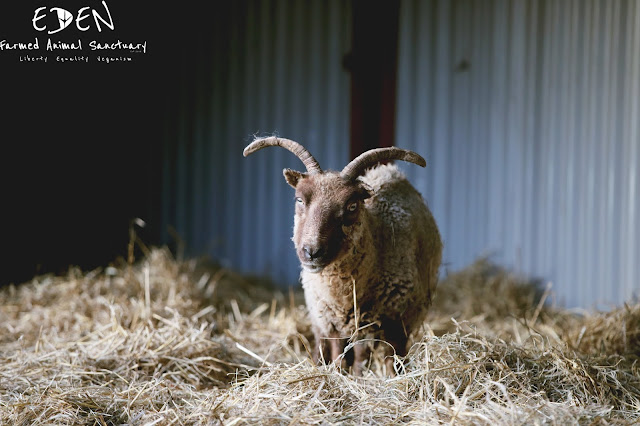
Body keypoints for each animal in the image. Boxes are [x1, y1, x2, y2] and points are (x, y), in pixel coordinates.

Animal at [243, 136, 442, 374]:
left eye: (352, 206)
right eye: (299, 200)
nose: (311, 252)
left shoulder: (390, 321)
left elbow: (378, 358)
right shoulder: (332, 321)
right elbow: (339, 355)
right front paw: (338, 374)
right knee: (323, 346)